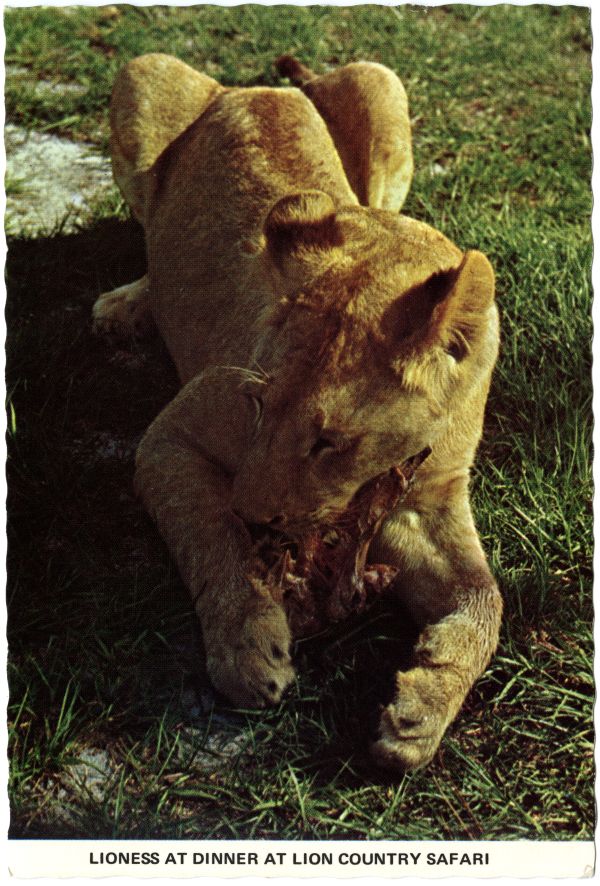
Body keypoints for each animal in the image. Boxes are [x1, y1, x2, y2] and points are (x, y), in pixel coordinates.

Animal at [93, 53, 502, 770]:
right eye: (259, 402)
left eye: (329, 441)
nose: (254, 513)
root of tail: (250, 88)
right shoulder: (169, 440)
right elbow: (212, 538)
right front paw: (248, 650)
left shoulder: (428, 502)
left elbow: (486, 598)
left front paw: (421, 711)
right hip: (145, 73)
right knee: (145, 234)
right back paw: (127, 307)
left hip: (380, 86)